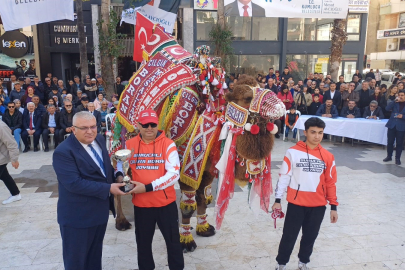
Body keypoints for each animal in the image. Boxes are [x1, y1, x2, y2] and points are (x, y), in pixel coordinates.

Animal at [107, 24, 284, 252]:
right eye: (247, 97)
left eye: (262, 87)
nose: (280, 106)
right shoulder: (186, 166)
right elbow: (188, 204)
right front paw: (186, 241)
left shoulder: (207, 169)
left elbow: (203, 197)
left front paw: (204, 227)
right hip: (119, 151)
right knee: (118, 184)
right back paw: (121, 221)